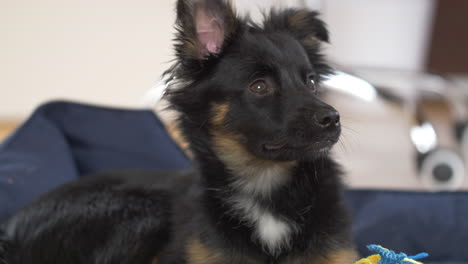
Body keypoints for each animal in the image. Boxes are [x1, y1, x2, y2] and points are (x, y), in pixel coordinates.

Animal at [0, 1, 358, 262]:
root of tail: (9, 231)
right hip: (141, 210)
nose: (332, 118)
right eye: (259, 86)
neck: (264, 186)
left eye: (310, 82)